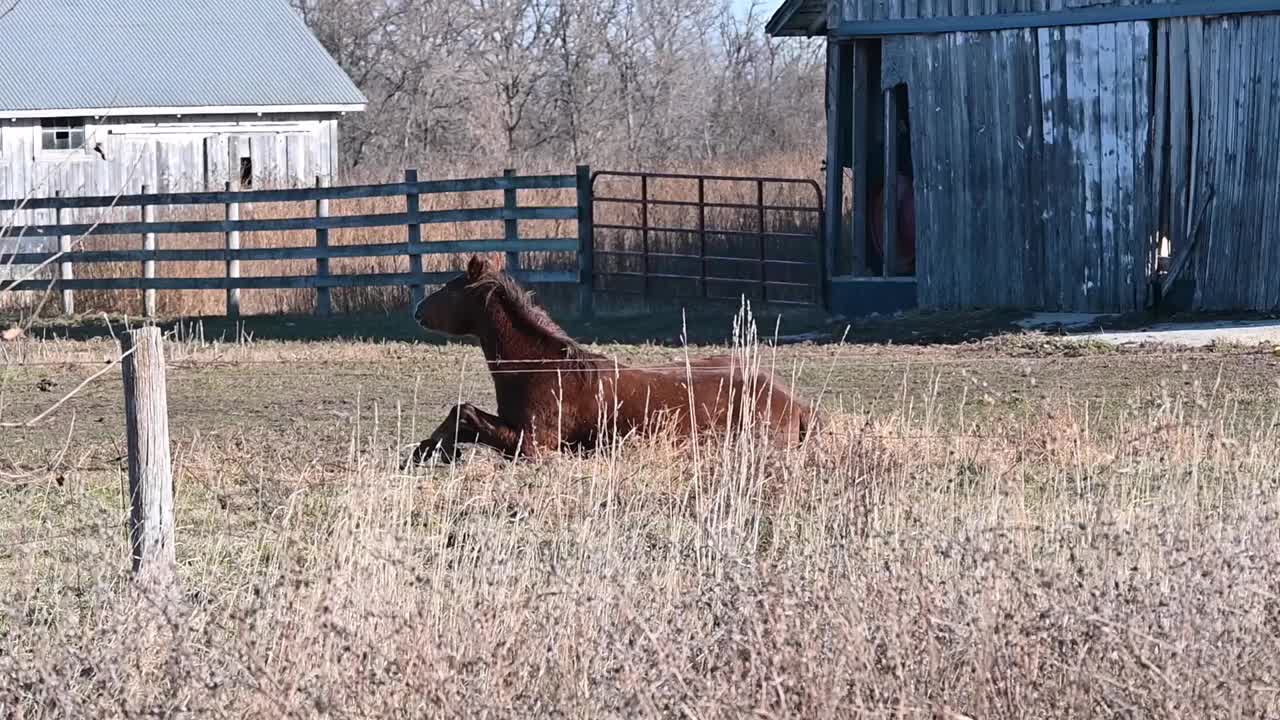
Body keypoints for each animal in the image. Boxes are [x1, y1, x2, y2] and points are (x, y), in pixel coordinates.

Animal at [409, 254, 819, 461]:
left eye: (449, 288)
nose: (417, 310)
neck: (541, 367)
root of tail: (798, 404)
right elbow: (463, 414)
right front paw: (428, 449)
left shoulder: (535, 444)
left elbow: (466, 414)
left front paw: (434, 451)